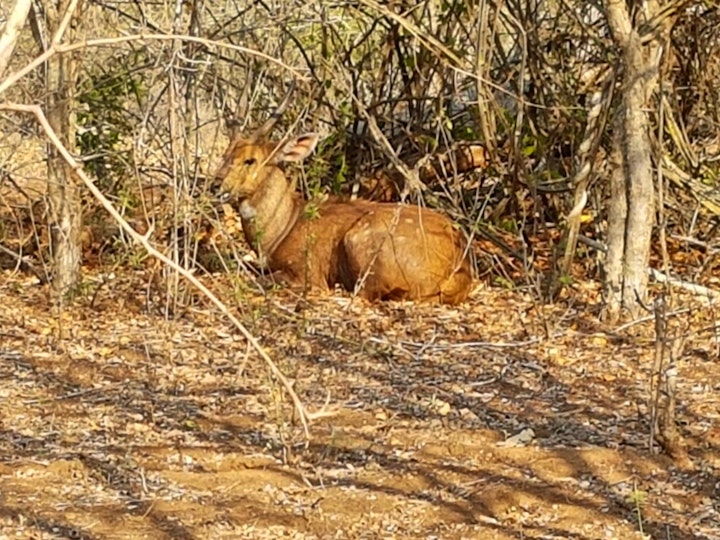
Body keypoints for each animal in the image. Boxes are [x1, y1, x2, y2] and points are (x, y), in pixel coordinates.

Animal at [214, 92, 472, 304]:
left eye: (250, 160)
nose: (216, 183)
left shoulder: (305, 271)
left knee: (365, 293)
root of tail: (459, 271)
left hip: (361, 242)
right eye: (226, 154)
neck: (278, 234)